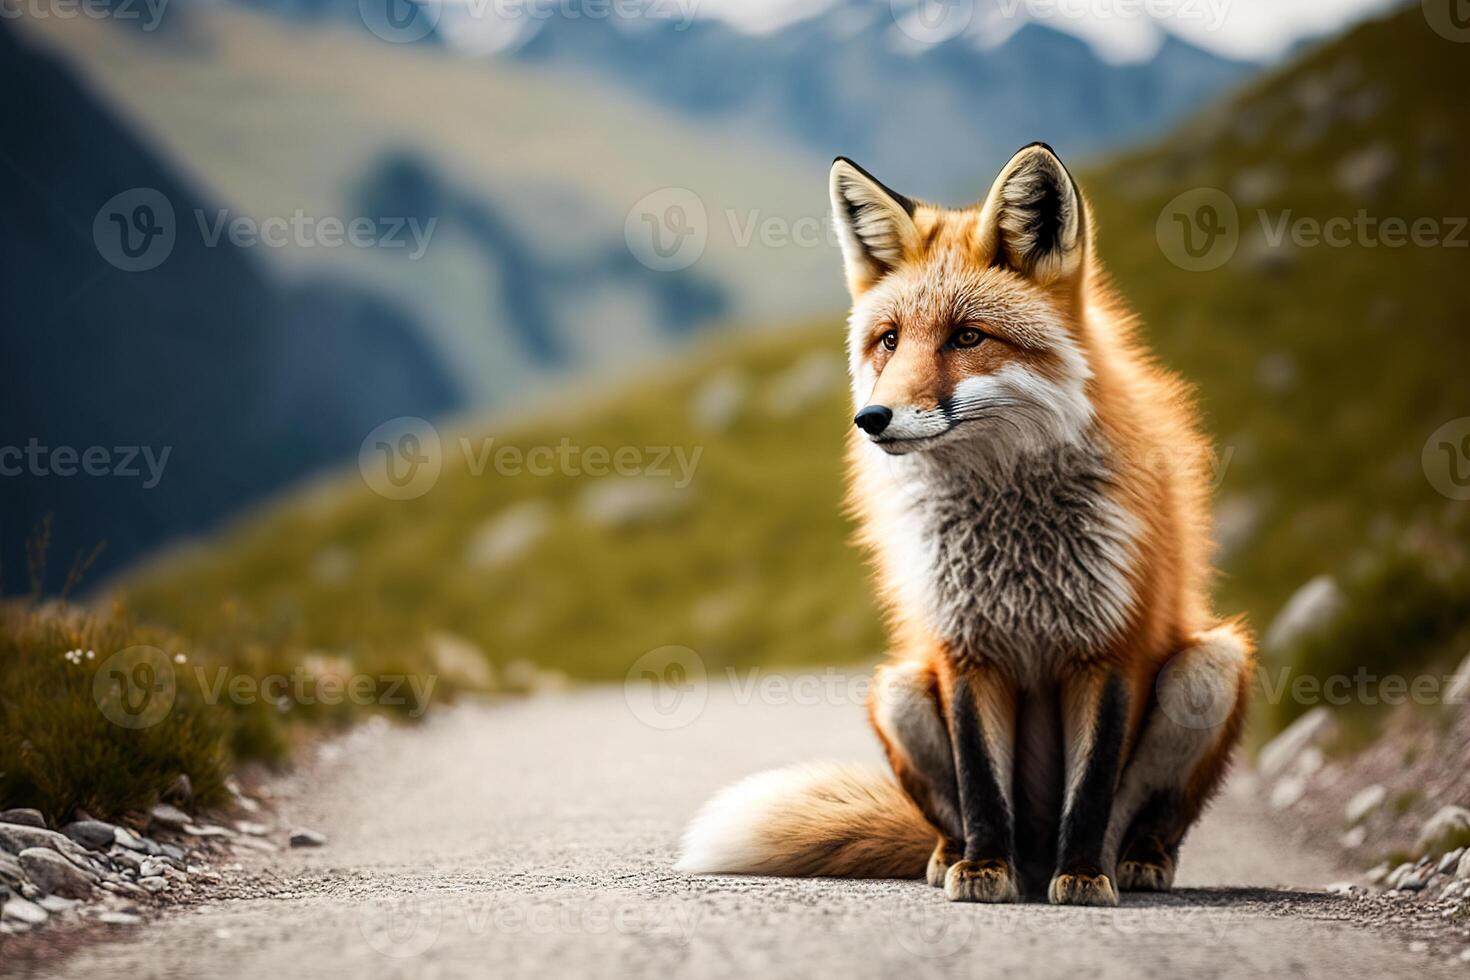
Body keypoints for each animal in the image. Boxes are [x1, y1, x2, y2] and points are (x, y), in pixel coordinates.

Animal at [673, 143, 1252, 905]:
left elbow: (1092, 790)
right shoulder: (962, 648)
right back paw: (959, 859)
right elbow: (980, 783)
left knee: (1150, 818)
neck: (1011, 540)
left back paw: (1129, 863)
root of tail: (1034, 854)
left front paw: (1082, 876)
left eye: (967, 337)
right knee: (950, 818)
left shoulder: (1110, 647)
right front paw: (981, 870)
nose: (872, 419)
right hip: (897, 689)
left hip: (1210, 665)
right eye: (889, 341)